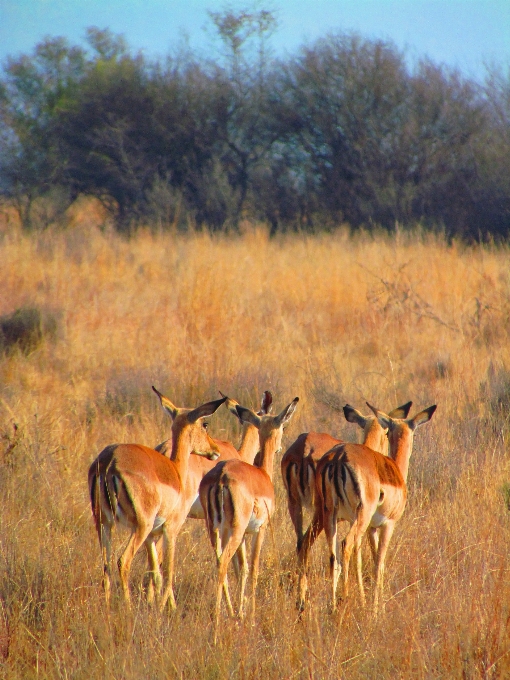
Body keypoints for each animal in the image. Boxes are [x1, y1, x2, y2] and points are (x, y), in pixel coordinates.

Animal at [88, 388, 226, 612]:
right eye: (205, 424)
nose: (215, 450)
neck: (176, 471)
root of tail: (109, 462)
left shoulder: (153, 535)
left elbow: (155, 573)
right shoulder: (170, 530)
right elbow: (168, 573)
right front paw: (167, 609)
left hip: (104, 523)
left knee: (106, 564)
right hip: (140, 527)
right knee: (122, 561)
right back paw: (128, 607)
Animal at [199, 396, 298, 640]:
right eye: (283, 426)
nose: (280, 447)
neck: (262, 475)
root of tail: (221, 477)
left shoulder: (243, 535)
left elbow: (242, 568)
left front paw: (241, 613)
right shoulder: (259, 530)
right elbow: (253, 568)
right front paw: (251, 617)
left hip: (215, 530)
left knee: (220, 563)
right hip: (235, 530)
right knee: (223, 564)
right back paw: (216, 626)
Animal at [280, 402, 412, 556]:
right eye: (387, 434)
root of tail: (305, 449)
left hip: (294, 503)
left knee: (300, 543)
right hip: (322, 512)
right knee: (307, 543)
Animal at [296, 402, 436, 612]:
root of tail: (338, 457)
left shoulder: (372, 528)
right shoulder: (388, 524)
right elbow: (379, 563)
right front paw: (377, 607)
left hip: (329, 515)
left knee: (327, 554)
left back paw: (327, 605)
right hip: (358, 516)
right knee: (345, 545)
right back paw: (343, 600)